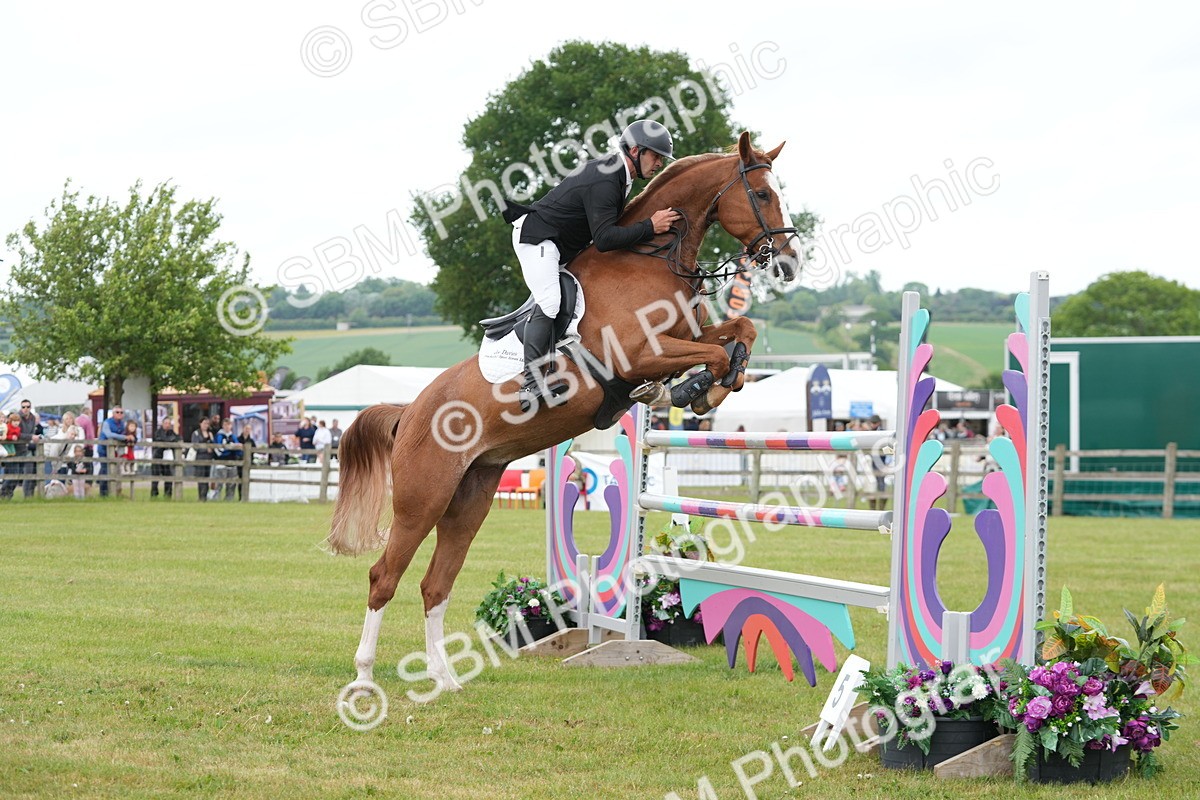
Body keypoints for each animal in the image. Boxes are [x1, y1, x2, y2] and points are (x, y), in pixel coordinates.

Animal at [328, 131, 800, 692]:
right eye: (763, 194)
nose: (791, 260)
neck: (650, 259)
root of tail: (410, 412)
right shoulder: (642, 354)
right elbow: (712, 354)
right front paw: (693, 390)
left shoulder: (687, 335)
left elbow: (739, 331)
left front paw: (716, 385)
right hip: (423, 499)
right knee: (385, 577)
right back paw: (363, 678)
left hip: (470, 497)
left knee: (435, 584)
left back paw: (444, 678)